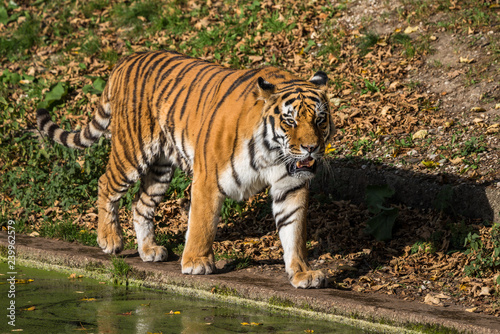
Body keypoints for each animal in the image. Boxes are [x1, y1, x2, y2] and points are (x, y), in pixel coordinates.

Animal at [37, 50, 334, 290]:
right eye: (290, 121)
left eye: (320, 119)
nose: (310, 148)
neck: (271, 154)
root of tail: (124, 61)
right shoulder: (208, 179)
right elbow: (202, 223)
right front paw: (196, 262)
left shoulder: (291, 186)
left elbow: (294, 232)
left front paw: (303, 274)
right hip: (131, 152)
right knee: (105, 184)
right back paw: (109, 239)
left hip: (160, 168)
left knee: (140, 203)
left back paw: (149, 250)